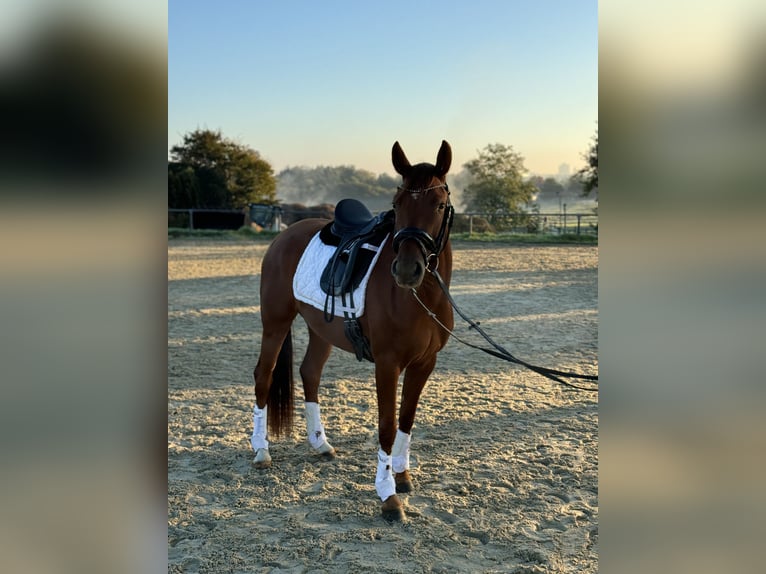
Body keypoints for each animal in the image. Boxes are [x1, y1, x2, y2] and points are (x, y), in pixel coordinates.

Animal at [252, 141, 456, 520]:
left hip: (321, 330)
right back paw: (261, 450)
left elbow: (407, 419)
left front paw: (402, 476)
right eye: (397, 204)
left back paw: (320, 444)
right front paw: (388, 495)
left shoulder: (425, 363)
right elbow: (387, 426)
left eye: (438, 204)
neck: (419, 297)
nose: (407, 270)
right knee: (264, 374)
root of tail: (285, 234)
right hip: (275, 323)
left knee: (309, 373)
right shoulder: (388, 364)